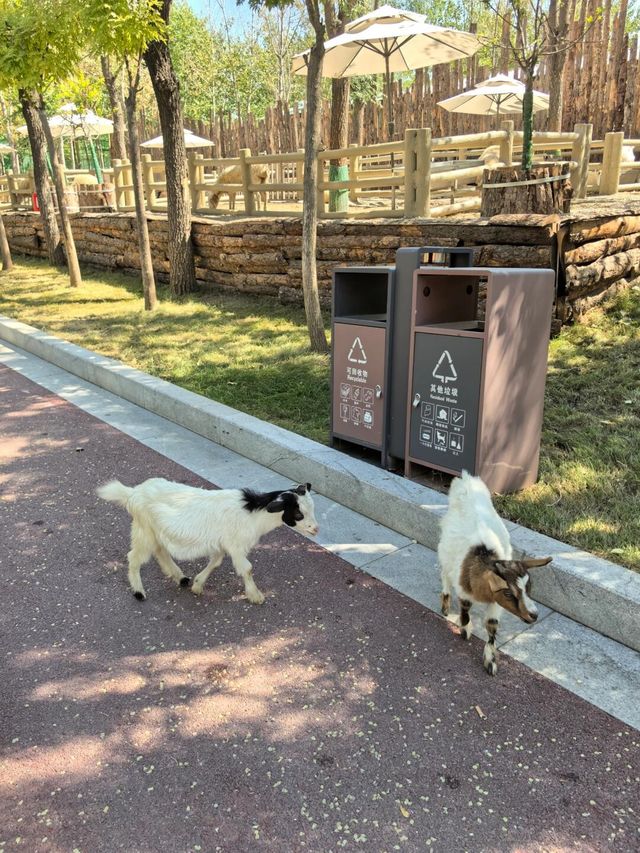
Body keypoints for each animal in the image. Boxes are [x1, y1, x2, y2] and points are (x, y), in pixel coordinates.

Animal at [97, 476, 318, 604]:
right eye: (298, 513)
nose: (316, 529)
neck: (252, 512)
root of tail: (132, 493)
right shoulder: (236, 546)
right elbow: (247, 568)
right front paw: (256, 596)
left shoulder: (222, 544)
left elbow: (215, 562)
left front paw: (197, 585)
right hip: (144, 530)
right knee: (135, 557)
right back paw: (139, 592)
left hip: (154, 531)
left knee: (161, 551)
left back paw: (181, 578)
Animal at [440, 470, 552, 676]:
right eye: (508, 592)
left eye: (529, 587)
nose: (534, 615)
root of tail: (466, 480)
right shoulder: (464, 590)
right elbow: (465, 609)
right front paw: (465, 630)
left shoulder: (495, 601)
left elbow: (492, 625)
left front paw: (490, 661)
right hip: (444, 550)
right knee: (444, 573)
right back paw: (444, 604)